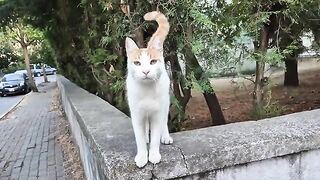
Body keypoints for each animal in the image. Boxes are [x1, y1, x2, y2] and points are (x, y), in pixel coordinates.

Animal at [125, 11, 172, 168]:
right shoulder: (137, 115)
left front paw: (153, 154)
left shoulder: (157, 114)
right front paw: (141, 156)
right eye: (137, 63)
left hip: (166, 103)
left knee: (164, 122)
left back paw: (166, 136)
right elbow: (139, 139)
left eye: (152, 62)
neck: (147, 91)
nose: (145, 71)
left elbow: (156, 137)